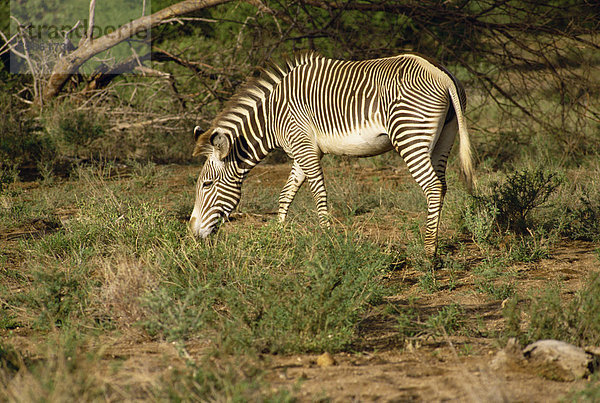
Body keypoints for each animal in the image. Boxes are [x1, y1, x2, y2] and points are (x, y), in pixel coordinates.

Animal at [191, 52, 474, 258]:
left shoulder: (304, 148)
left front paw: (327, 239)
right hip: (444, 138)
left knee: (433, 186)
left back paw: (428, 252)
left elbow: (319, 194)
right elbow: (286, 194)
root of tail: (441, 74)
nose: (192, 232)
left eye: (206, 184)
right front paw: (278, 235)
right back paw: (433, 241)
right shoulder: (299, 151)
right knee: (442, 185)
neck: (272, 118)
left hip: (409, 135)